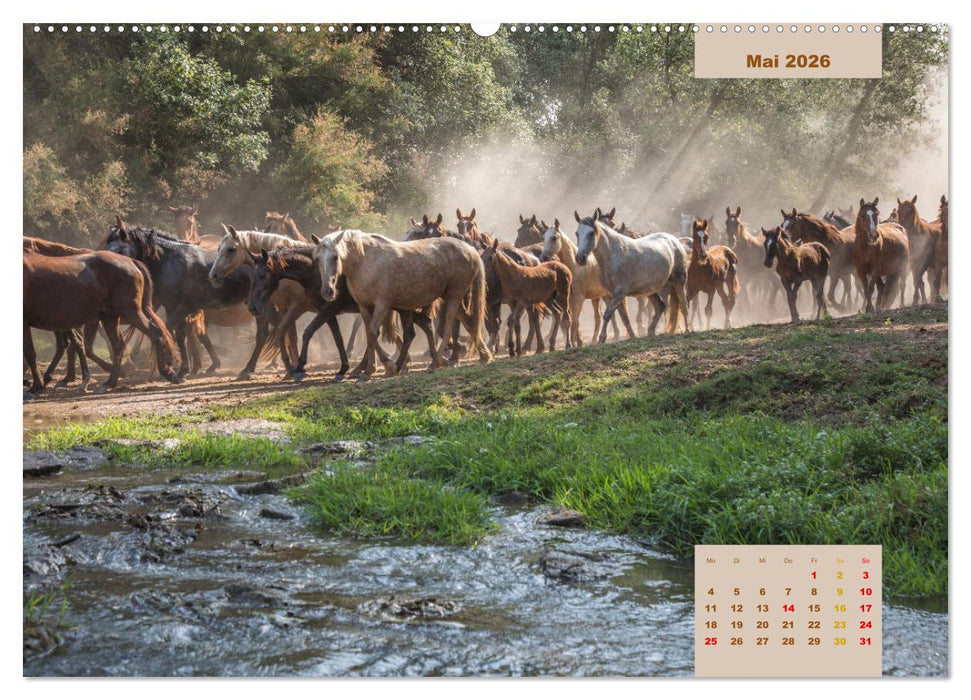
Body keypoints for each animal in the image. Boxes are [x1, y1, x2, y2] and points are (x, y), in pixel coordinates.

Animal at [24, 247, 181, 396]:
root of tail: (131, 262)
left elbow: (30, 353)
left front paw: (35, 387)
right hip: (109, 317)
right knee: (119, 345)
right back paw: (110, 382)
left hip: (129, 312)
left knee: (155, 334)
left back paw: (165, 372)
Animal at [104, 220, 282, 381]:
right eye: (107, 248)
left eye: (119, 249)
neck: (169, 263)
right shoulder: (171, 307)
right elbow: (179, 336)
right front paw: (182, 369)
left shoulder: (182, 307)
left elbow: (166, 331)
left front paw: (167, 369)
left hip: (262, 307)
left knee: (262, 335)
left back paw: (248, 369)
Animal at [316, 230, 491, 378]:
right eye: (317, 259)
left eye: (335, 257)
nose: (327, 291)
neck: (366, 262)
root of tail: (470, 249)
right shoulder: (365, 307)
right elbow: (370, 335)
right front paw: (370, 370)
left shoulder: (382, 305)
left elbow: (373, 332)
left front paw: (388, 366)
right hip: (450, 296)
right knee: (468, 321)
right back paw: (484, 355)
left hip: (454, 295)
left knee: (448, 328)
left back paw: (436, 362)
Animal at [574, 209, 690, 342]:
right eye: (577, 233)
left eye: (591, 233)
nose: (580, 258)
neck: (613, 255)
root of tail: (674, 240)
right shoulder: (612, 295)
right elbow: (624, 317)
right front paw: (633, 336)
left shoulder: (619, 294)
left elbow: (607, 314)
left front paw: (602, 339)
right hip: (652, 290)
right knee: (661, 306)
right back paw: (650, 331)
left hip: (678, 281)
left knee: (683, 304)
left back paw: (688, 329)